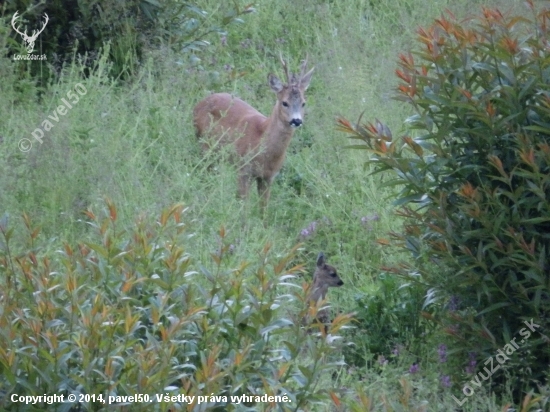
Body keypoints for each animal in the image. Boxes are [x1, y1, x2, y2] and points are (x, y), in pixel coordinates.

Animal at [194, 54, 314, 212]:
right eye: (284, 102)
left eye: (303, 103)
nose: (297, 120)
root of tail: (198, 104)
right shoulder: (243, 170)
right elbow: (243, 206)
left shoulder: (268, 177)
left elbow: (263, 210)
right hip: (204, 146)